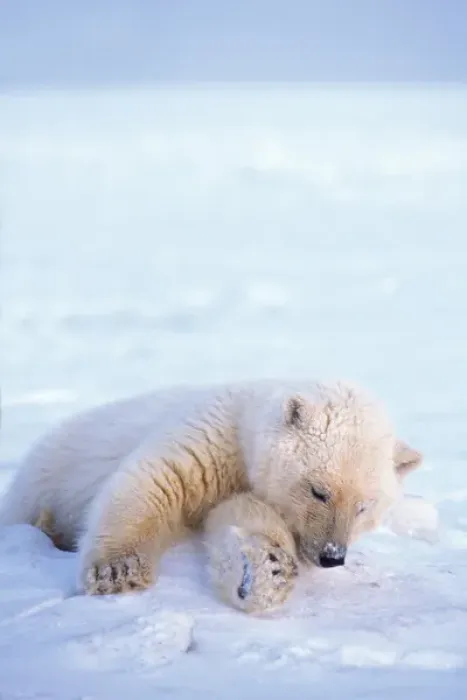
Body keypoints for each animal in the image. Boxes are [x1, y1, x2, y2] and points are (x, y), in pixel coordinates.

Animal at [0, 379, 422, 613]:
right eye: (319, 491)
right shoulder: (210, 435)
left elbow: (240, 520)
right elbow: (155, 483)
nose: (332, 557)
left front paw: (265, 571)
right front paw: (117, 572)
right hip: (42, 478)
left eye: (364, 506)